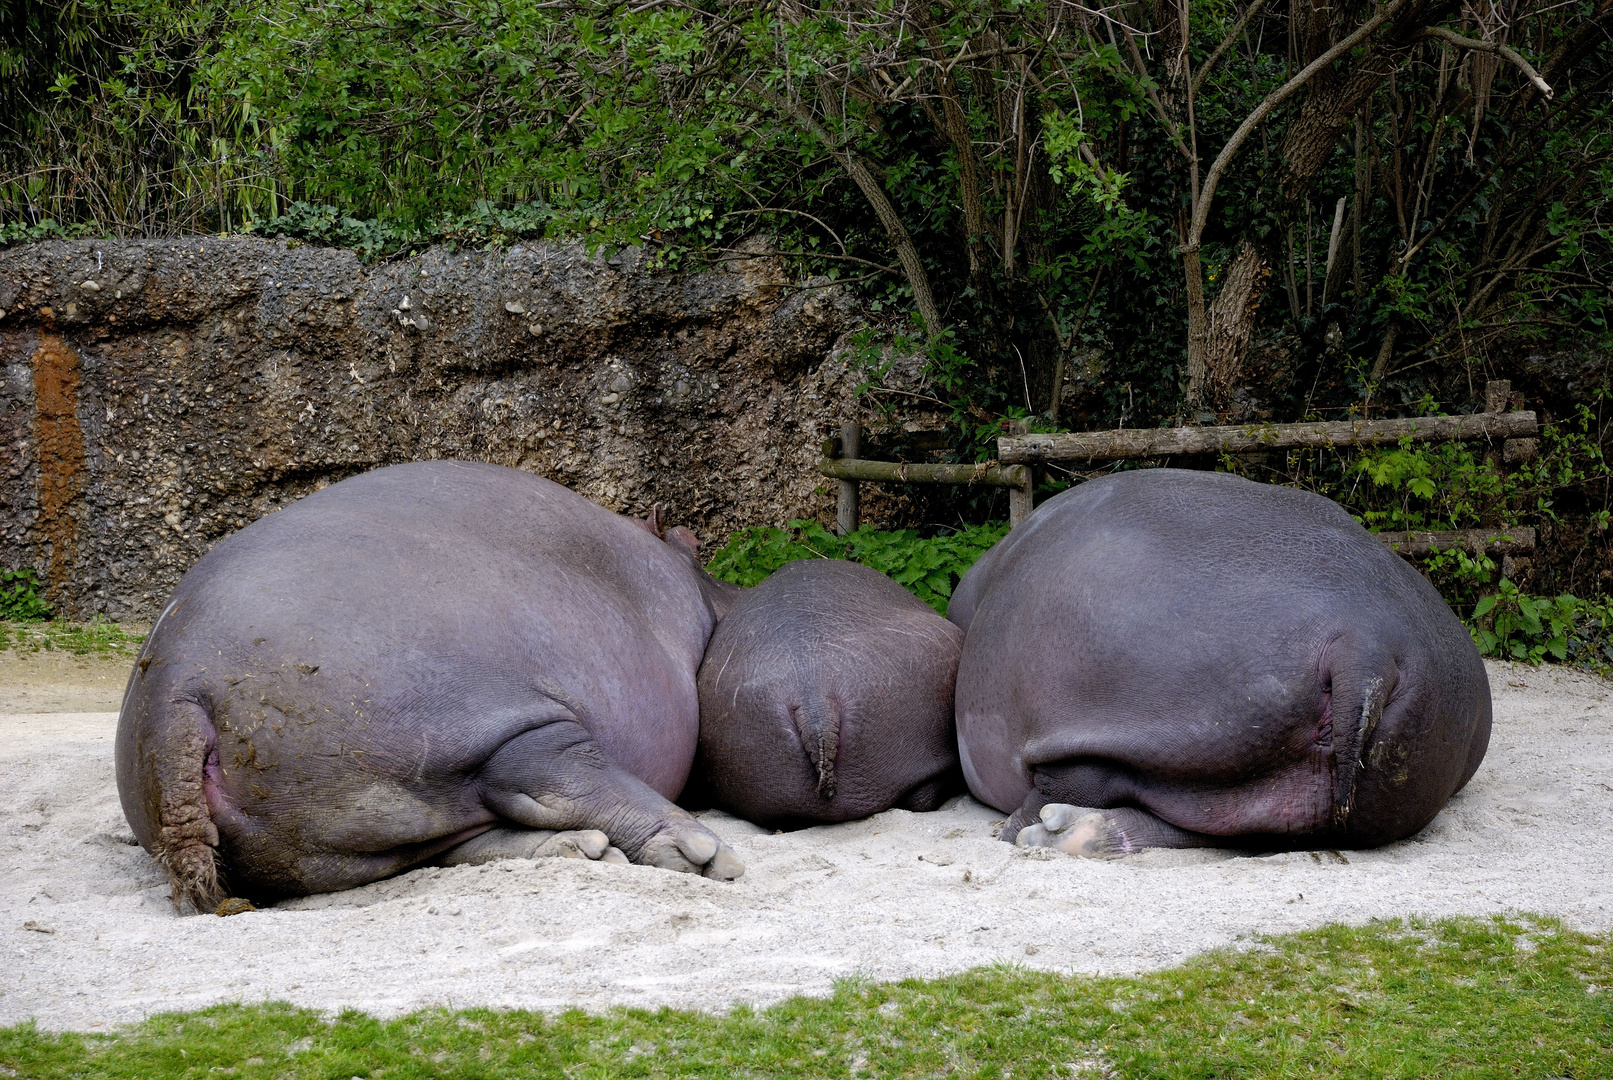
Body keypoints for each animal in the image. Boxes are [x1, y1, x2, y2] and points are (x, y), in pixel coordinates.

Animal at [116, 461, 745, 909]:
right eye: (692, 539)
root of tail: (173, 688)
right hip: (481, 723)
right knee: (563, 779)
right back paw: (704, 852)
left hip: (337, 835)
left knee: (464, 839)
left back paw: (588, 853)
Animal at [948, 470, 1490, 857]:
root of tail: (1366, 645)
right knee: (1237, 826)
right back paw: (1073, 835)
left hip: (1169, 716)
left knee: (1068, 787)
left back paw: (1037, 834)